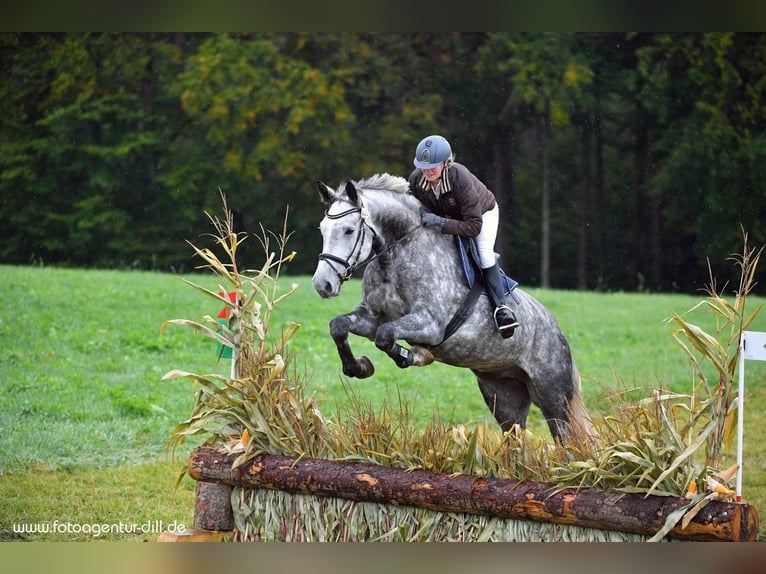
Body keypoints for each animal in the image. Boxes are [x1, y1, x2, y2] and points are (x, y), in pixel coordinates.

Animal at [312, 173, 592, 444]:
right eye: (322, 229)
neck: (395, 255)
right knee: (515, 436)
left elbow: (386, 335)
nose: (322, 284)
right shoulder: (372, 318)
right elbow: (339, 326)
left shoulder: (431, 324)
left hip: (553, 396)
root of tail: (559, 332)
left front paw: (416, 355)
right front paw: (358, 367)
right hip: (503, 395)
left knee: (565, 440)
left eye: (349, 230)